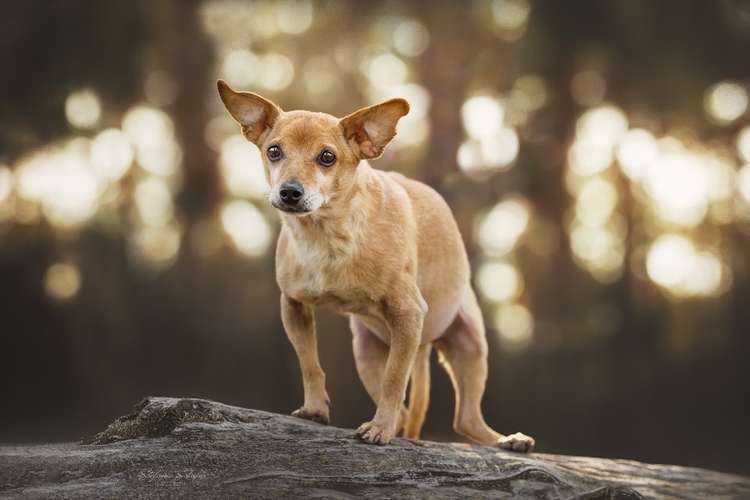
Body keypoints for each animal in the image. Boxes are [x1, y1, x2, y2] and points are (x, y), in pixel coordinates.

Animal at [217, 80, 536, 452]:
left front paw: (379, 429)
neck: (327, 234)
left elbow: (394, 379)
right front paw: (315, 409)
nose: (290, 192)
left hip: (468, 344)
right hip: (367, 351)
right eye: (274, 151)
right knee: (421, 413)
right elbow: (310, 363)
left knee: (465, 417)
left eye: (327, 157)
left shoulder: (407, 313)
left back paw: (507, 440)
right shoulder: (294, 306)